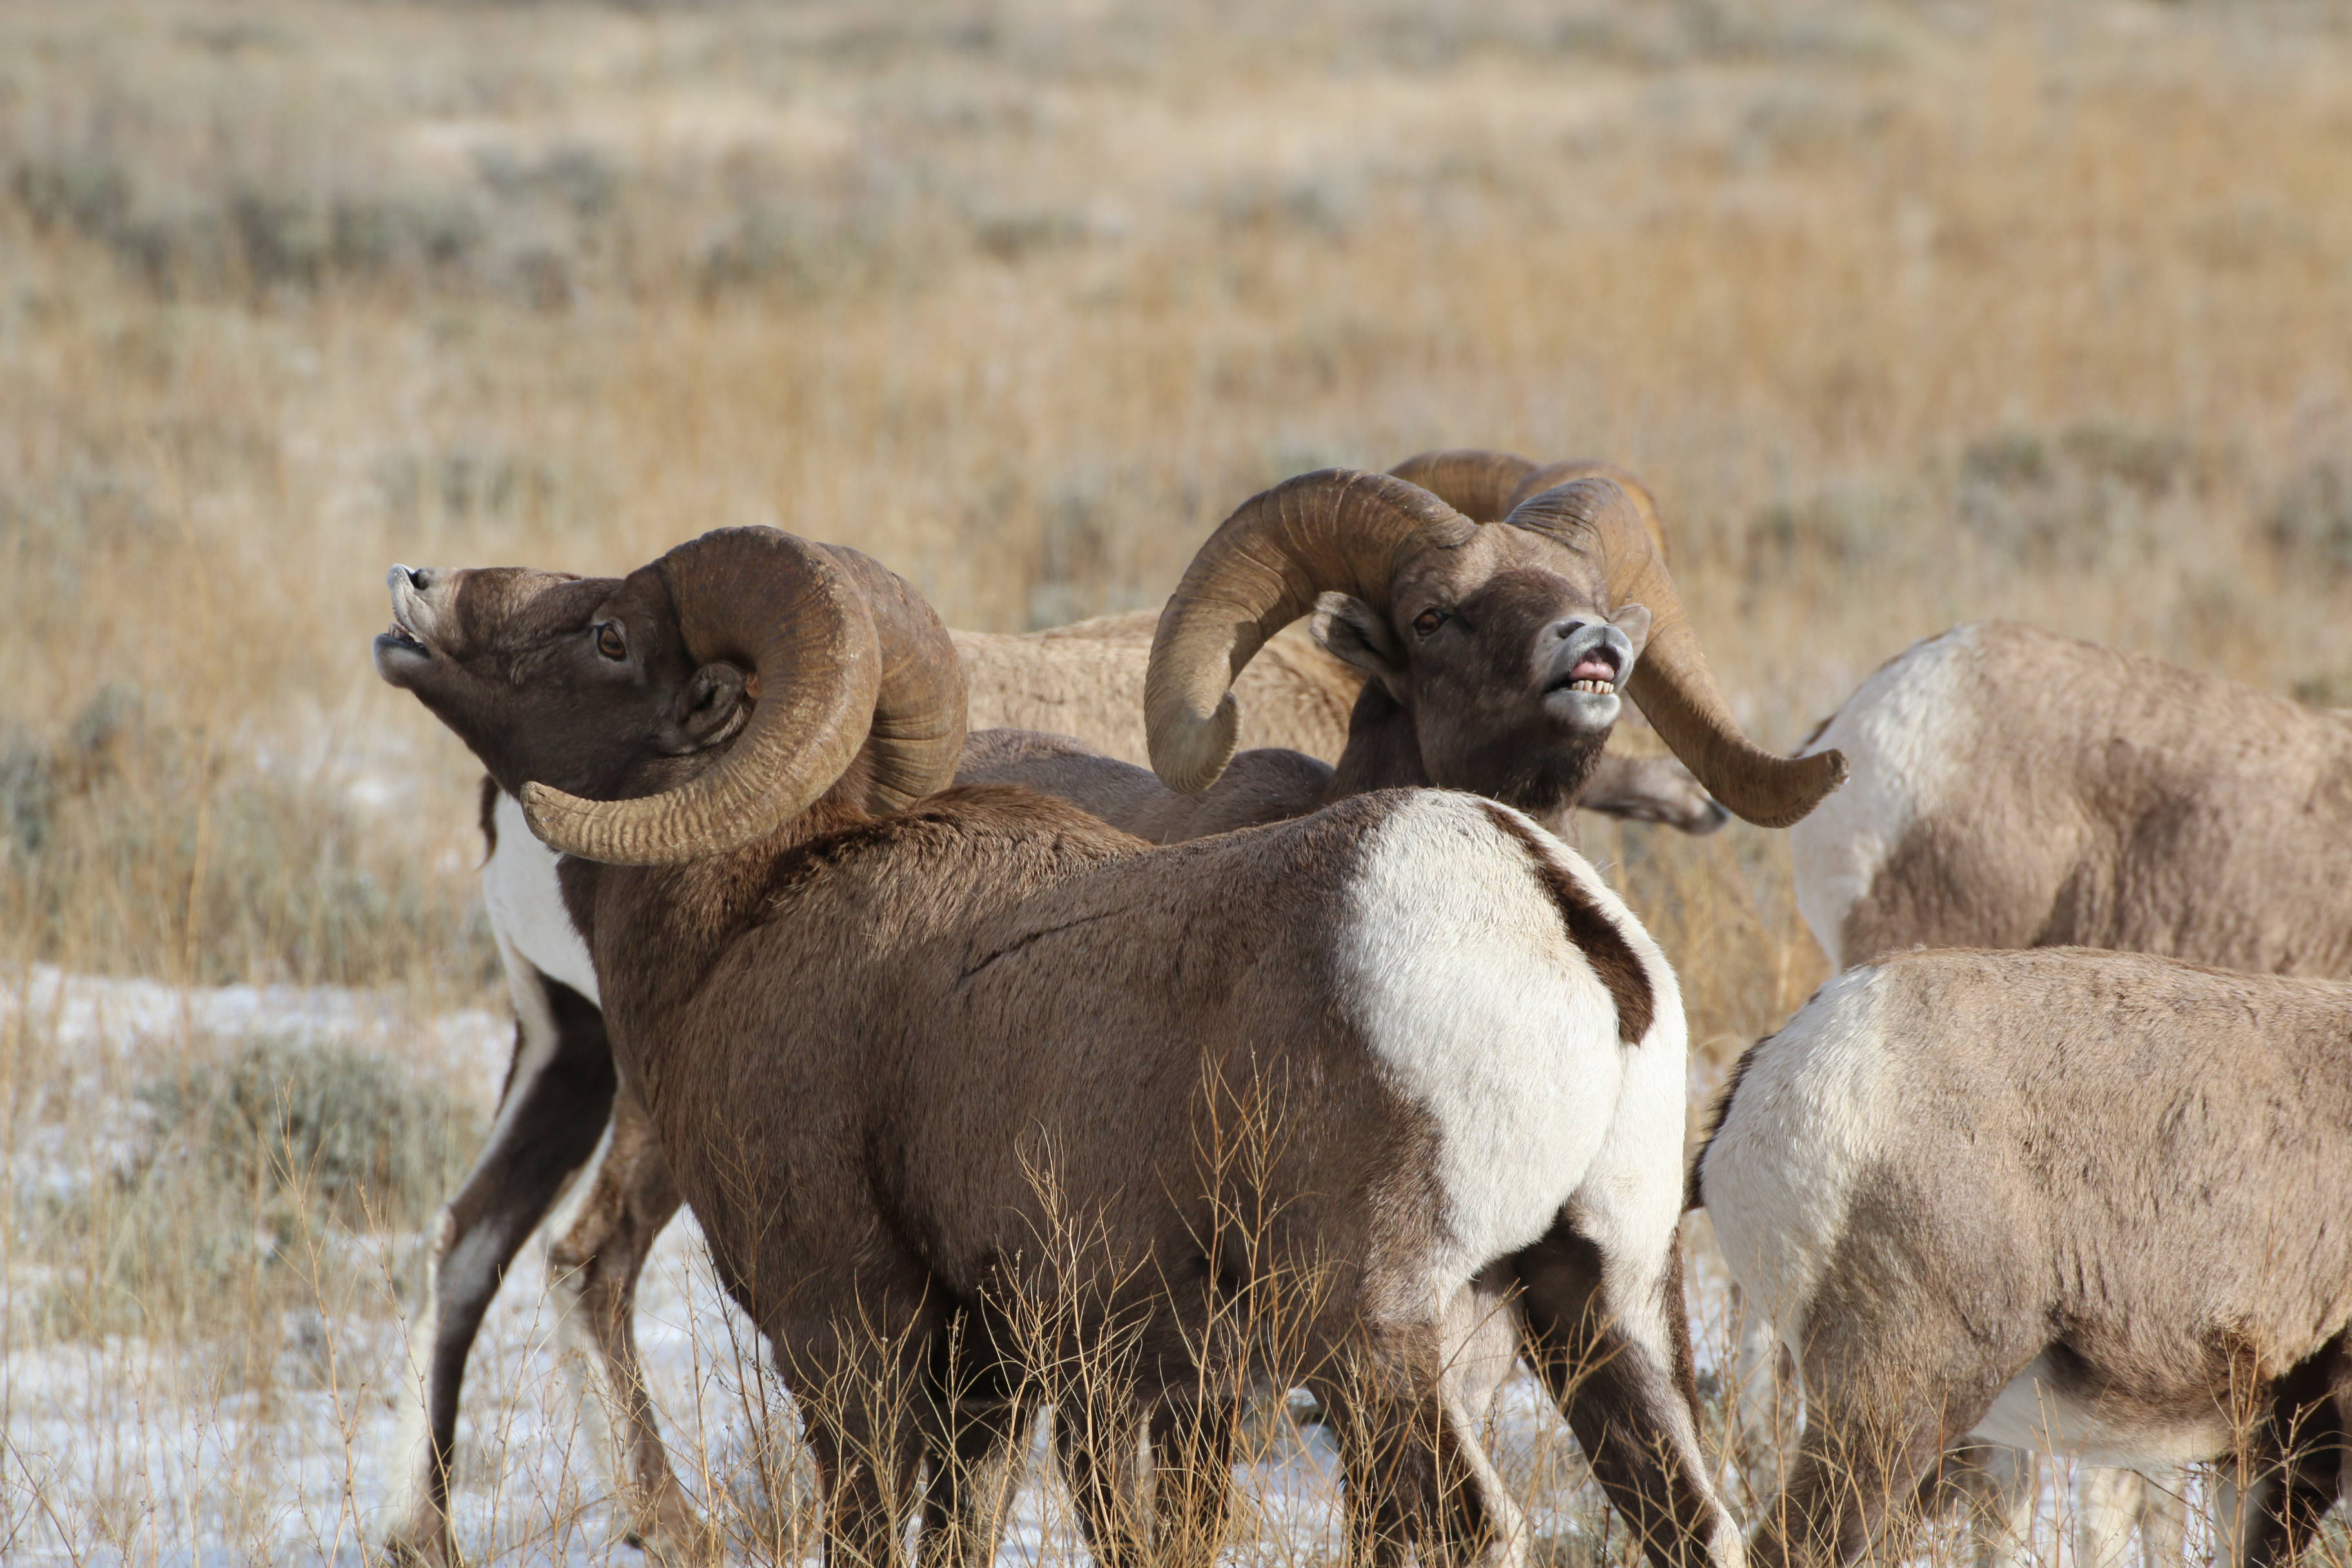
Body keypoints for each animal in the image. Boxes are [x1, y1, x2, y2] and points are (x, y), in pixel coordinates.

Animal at [380, 456, 1783, 1560]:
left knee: (1460, 1523)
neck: (751, 913)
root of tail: (1560, 918)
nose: (413, 594)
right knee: (1692, 1522)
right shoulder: (1005, 1382)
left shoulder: (849, 1343)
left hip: (1384, 1331)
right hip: (1600, 1305)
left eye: (611, 636)